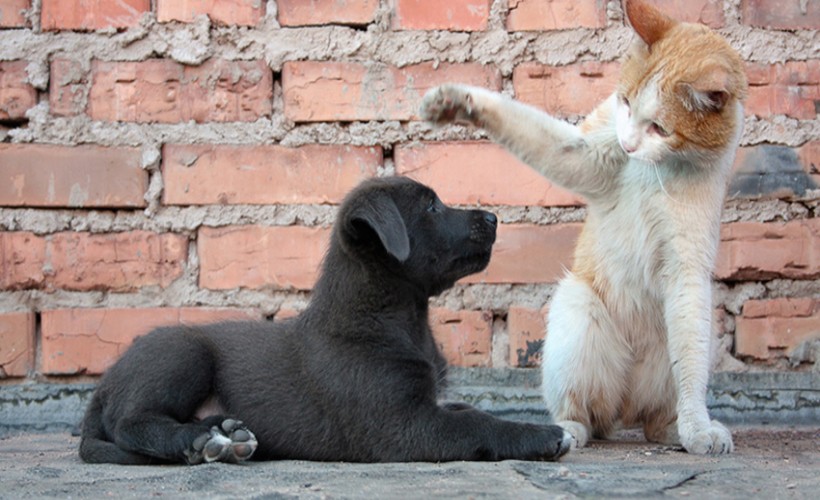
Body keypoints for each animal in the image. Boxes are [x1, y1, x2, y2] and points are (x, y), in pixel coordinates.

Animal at [80, 177, 572, 464]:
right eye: (431, 207)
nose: (493, 216)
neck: (393, 319)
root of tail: (102, 390)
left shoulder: (427, 403)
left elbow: (470, 411)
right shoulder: (404, 427)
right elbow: (478, 425)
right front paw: (544, 435)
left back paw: (228, 433)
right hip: (180, 352)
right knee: (131, 423)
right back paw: (202, 439)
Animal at [420, 0, 748, 454]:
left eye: (660, 128)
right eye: (625, 103)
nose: (628, 144)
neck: (656, 169)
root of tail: (624, 410)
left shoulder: (688, 271)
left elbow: (692, 371)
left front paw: (699, 429)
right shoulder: (587, 156)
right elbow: (527, 126)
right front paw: (455, 102)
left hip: (696, 323)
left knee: (658, 411)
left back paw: (673, 432)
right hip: (576, 310)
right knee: (584, 414)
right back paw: (566, 433)